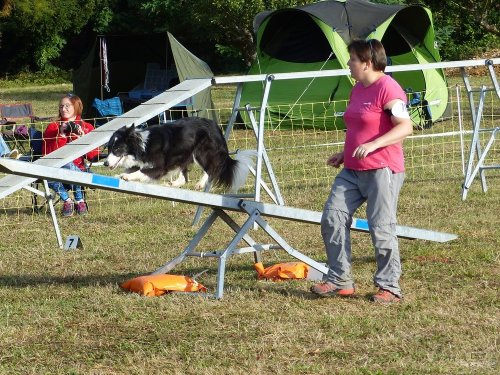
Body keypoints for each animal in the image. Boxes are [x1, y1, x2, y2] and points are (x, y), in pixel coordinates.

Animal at [104, 117, 254, 192]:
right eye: (109, 148)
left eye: (117, 148)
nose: (105, 163)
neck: (142, 146)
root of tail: (215, 125)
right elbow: (132, 168)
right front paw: (119, 175)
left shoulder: (160, 166)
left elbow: (142, 172)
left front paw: (127, 177)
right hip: (184, 155)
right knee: (184, 178)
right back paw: (173, 184)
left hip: (201, 152)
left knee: (211, 168)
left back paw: (200, 184)